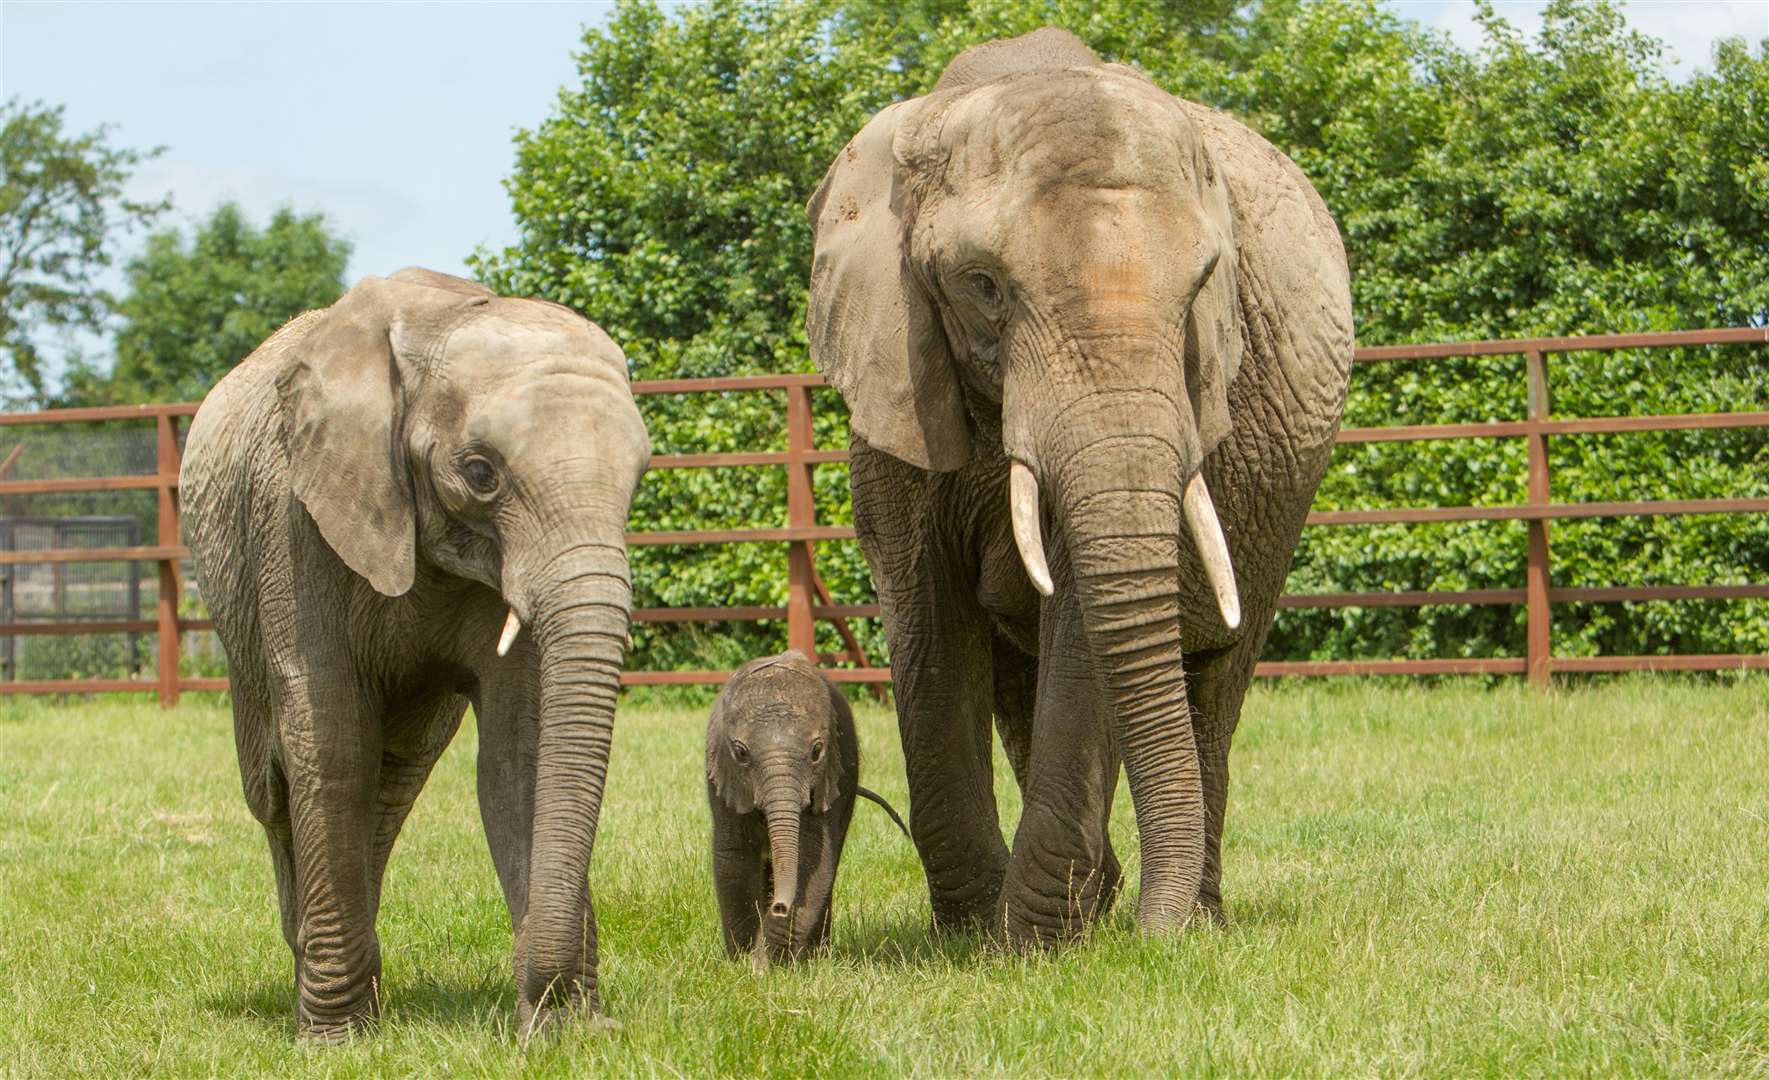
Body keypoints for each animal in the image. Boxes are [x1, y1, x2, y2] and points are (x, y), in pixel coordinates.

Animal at [179, 268, 654, 1039]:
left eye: (639, 477)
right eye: (481, 472)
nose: (597, 1023)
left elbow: (521, 756)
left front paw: (561, 1032)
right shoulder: (292, 515)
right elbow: (329, 741)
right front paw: (334, 1042)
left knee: (396, 778)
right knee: (276, 784)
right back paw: (309, 957)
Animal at [704, 650, 905, 961]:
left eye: (816, 751)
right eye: (740, 753)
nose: (779, 906)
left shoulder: (829, 776)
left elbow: (812, 856)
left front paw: (766, 963)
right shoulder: (723, 778)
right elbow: (734, 858)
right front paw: (742, 961)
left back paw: (816, 956)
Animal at [806, 27, 1351, 947]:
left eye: (1203, 286)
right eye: (982, 286)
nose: (1153, 937)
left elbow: (1084, 628)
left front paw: (1027, 940)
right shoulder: (897, 370)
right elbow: (926, 622)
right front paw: (975, 934)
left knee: (1213, 682)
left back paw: (1185, 914)